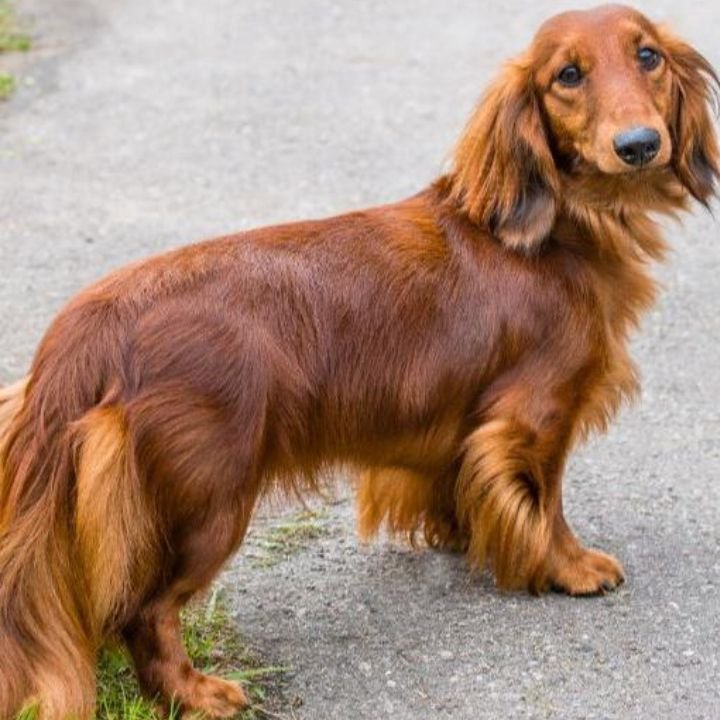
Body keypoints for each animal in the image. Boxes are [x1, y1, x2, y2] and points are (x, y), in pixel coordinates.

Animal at [1, 5, 720, 720]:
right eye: (567, 74)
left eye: (649, 56)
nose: (639, 143)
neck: (551, 234)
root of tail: (86, 330)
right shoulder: (536, 416)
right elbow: (545, 506)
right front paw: (569, 566)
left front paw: (466, 535)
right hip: (207, 500)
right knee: (144, 612)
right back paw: (198, 692)